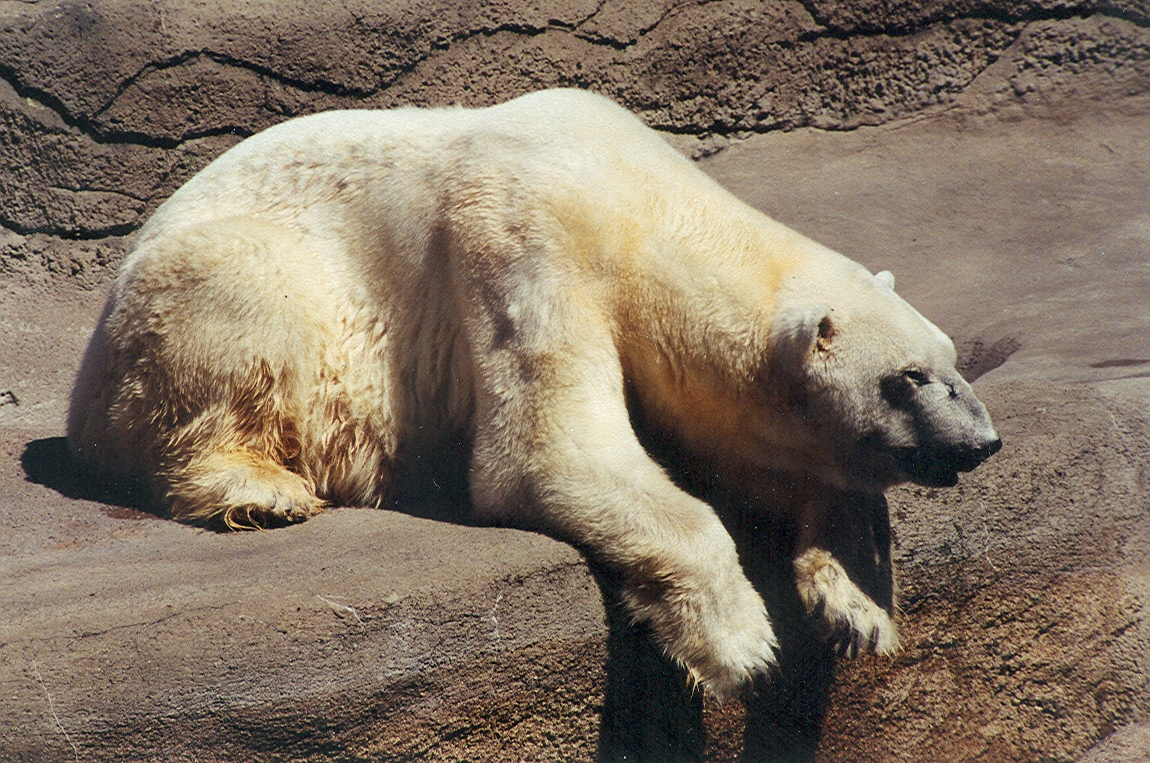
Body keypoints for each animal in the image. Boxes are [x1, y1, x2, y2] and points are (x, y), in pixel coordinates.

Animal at [67, 88, 1000, 699]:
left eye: (953, 361)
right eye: (908, 378)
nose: (981, 442)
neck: (639, 200)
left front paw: (857, 606)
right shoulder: (525, 239)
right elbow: (546, 451)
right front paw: (742, 642)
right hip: (202, 298)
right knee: (247, 304)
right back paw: (260, 488)